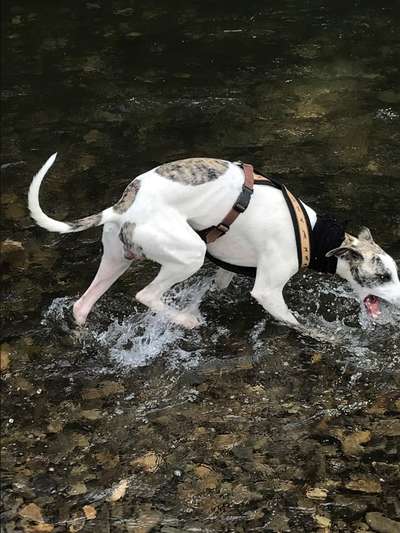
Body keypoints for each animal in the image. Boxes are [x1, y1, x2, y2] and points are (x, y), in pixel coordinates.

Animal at [28, 153, 400, 328]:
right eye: (383, 276)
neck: (311, 233)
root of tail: (121, 206)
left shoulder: (227, 269)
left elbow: (219, 286)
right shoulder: (267, 290)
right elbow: (296, 322)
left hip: (116, 259)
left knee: (82, 304)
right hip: (190, 253)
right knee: (146, 295)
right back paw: (185, 320)